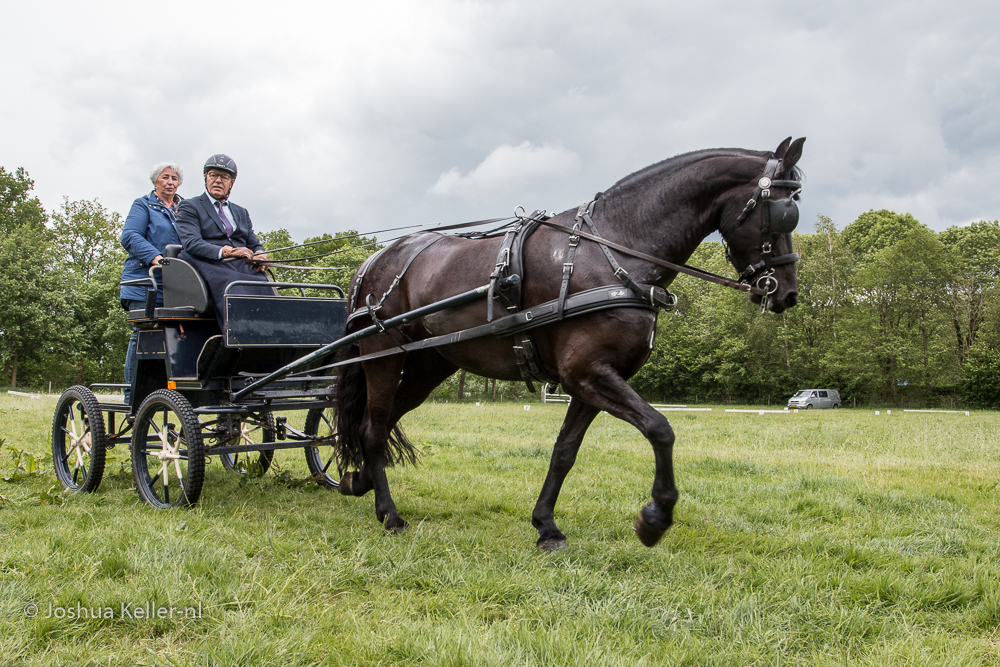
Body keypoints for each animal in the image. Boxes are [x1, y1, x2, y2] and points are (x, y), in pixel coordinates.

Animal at [336, 138, 804, 552]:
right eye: (786, 211)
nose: (786, 293)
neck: (616, 253)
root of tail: (373, 260)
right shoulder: (587, 373)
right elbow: (660, 428)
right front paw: (655, 518)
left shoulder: (592, 381)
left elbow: (565, 452)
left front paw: (546, 526)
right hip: (379, 356)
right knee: (373, 428)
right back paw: (389, 513)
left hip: (427, 365)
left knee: (381, 421)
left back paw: (359, 480)